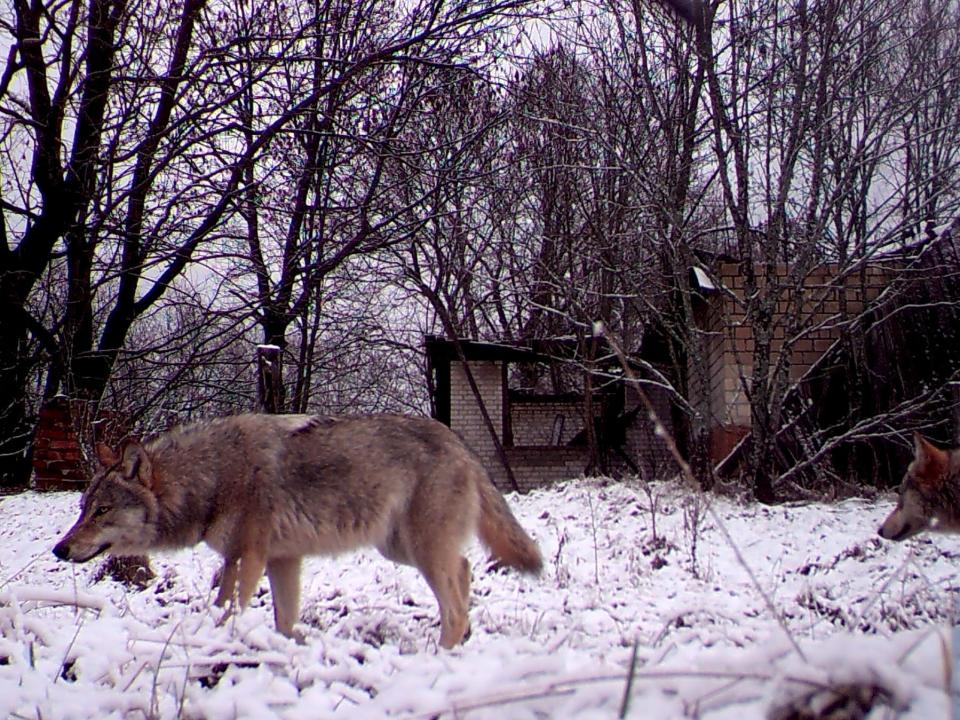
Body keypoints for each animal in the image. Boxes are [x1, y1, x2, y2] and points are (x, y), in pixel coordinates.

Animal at [52, 414, 544, 648]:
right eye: (82, 509)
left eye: (102, 511)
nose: (59, 549)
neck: (211, 477)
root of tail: (460, 444)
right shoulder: (282, 560)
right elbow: (284, 619)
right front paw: (284, 647)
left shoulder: (246, 557)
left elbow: (228, 609)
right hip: (401, 549)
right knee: (465, 570)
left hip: (419, 551)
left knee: (455, 600)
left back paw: (441, 656)